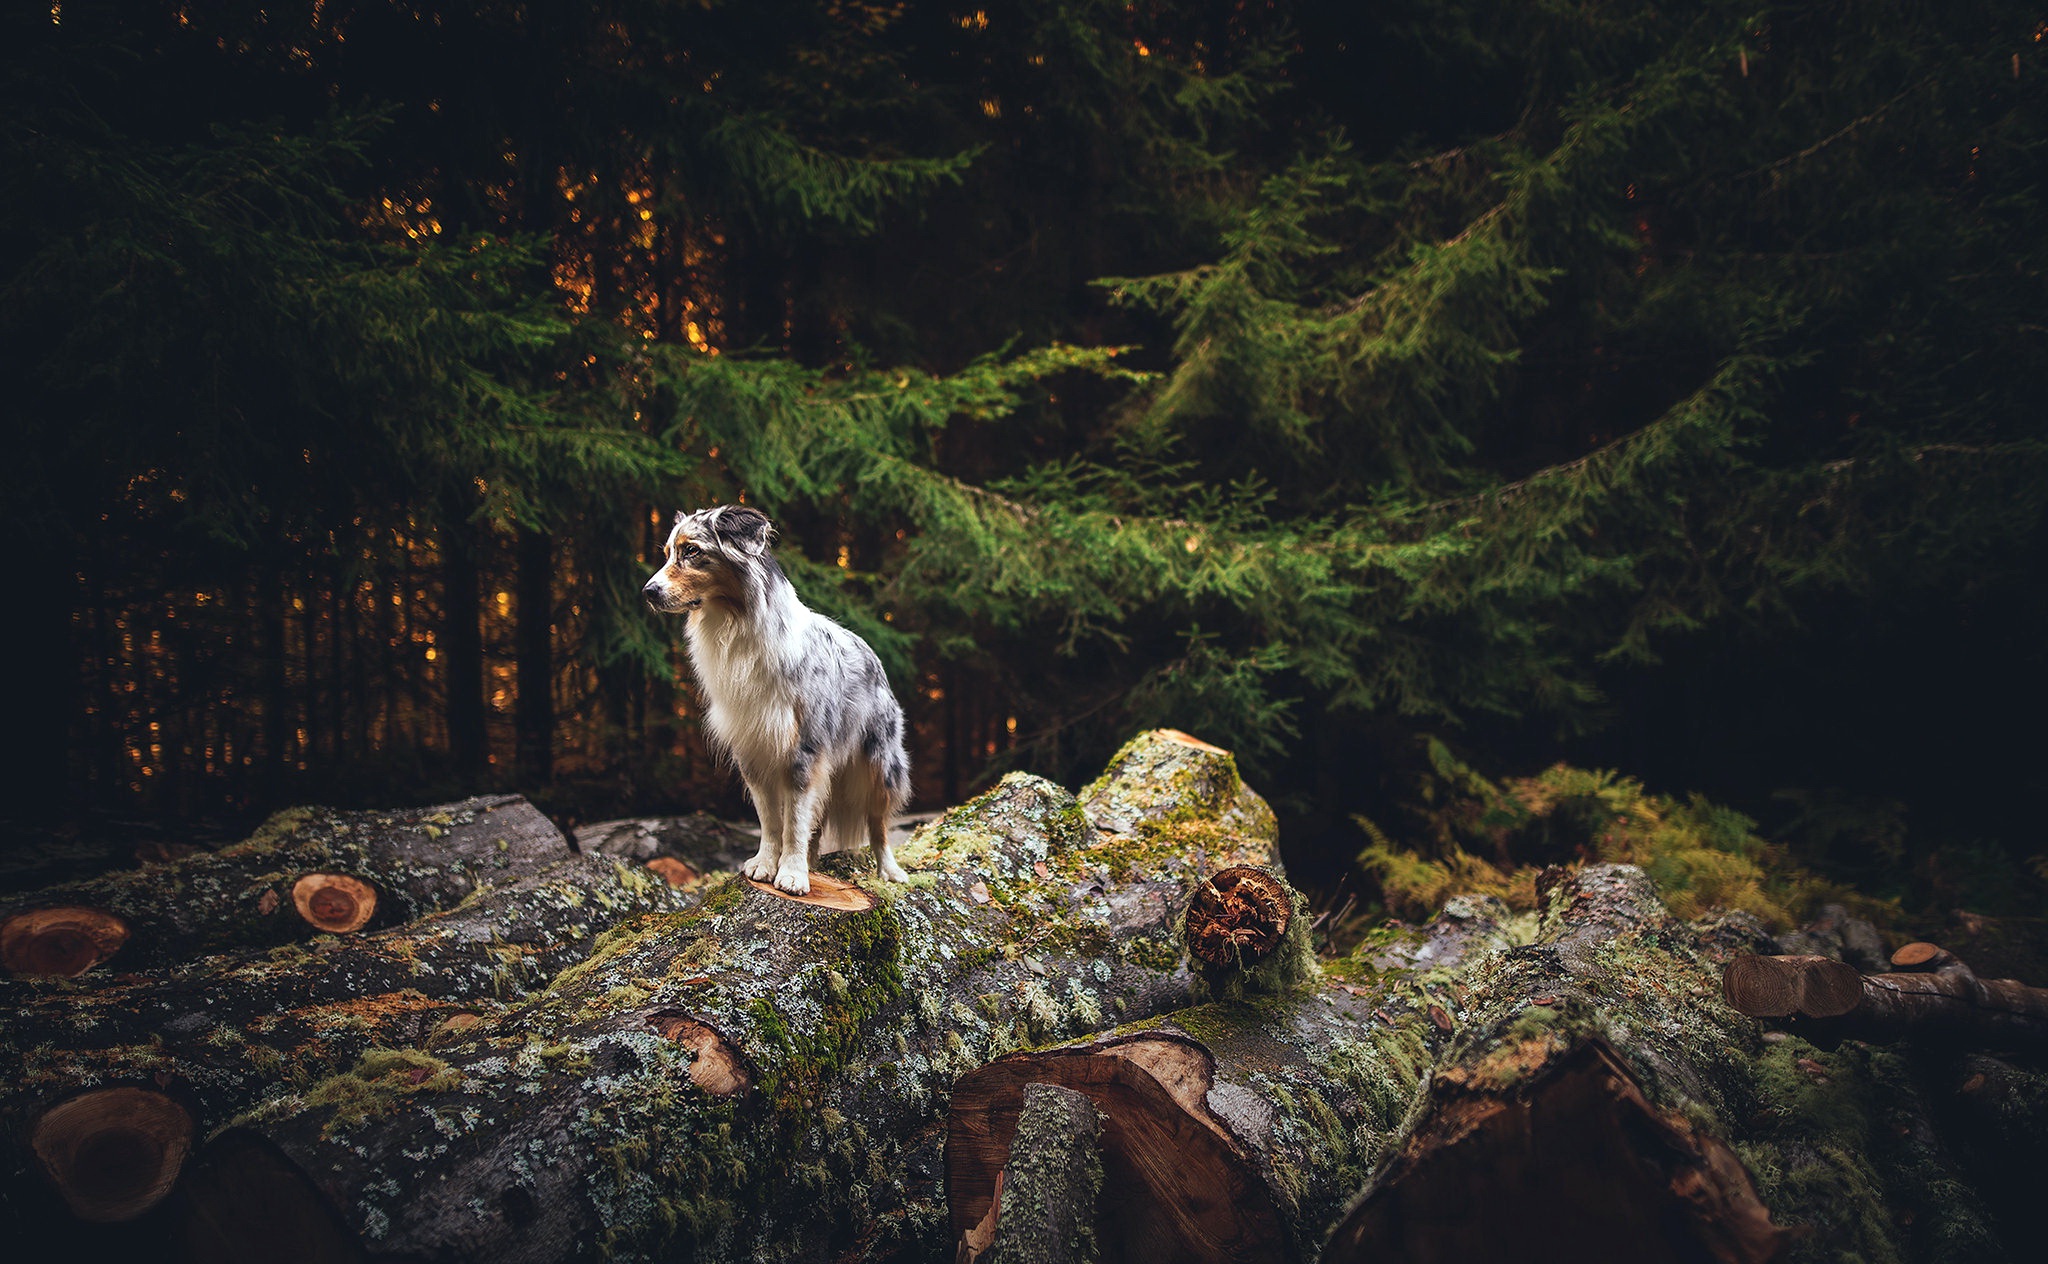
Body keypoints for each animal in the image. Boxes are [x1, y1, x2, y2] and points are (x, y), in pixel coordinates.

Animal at [638, 506, 913, 897]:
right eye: (666, 553)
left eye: (692, 550)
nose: (648, 592)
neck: (735, 623)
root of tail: (872, 654)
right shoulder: (752, 750)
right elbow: (770, 820)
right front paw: (767, 864)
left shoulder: (803, 752)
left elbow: (794, 821)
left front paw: (793, 874)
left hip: (880, 763)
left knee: (877, 822)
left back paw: (889, 870)